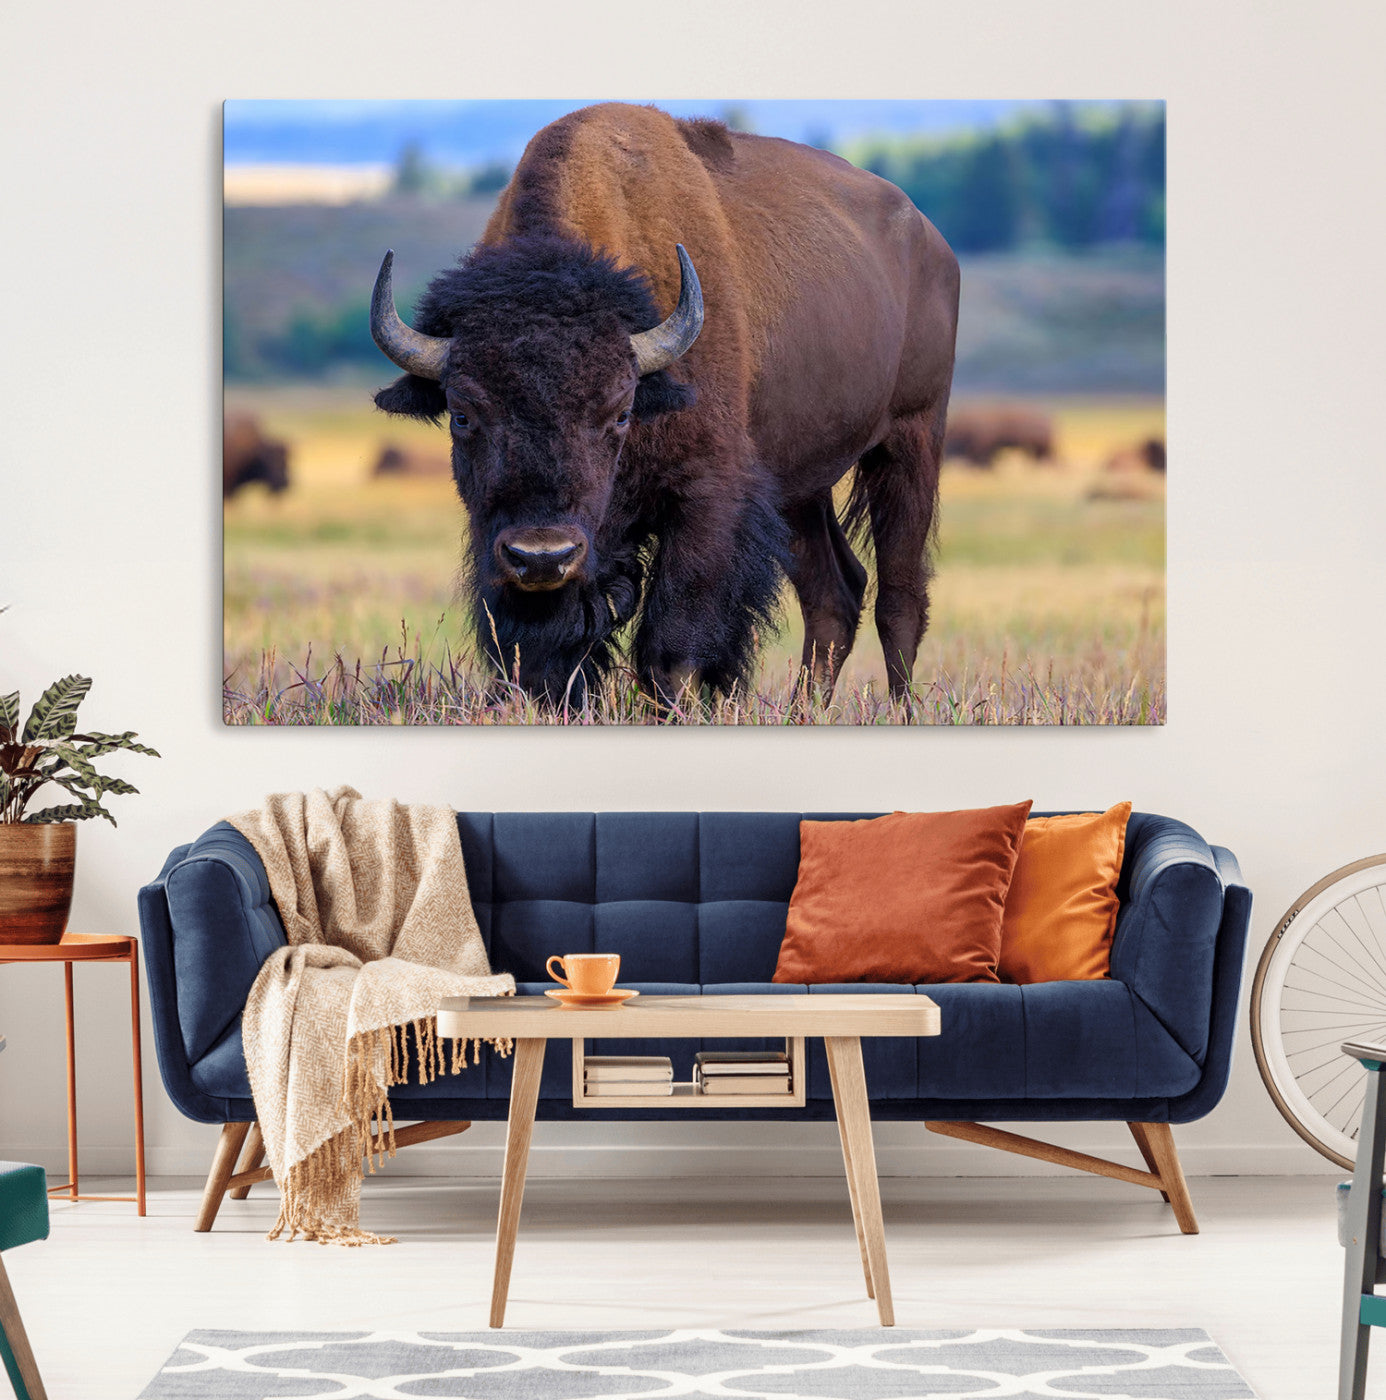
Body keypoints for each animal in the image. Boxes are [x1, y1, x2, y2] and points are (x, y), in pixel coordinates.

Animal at [371, 103, 959, 705]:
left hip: (910, 441)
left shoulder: (705, 501)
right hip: (801, 486)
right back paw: (804, 710)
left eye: (620, 412)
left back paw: (900, 709)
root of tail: (931, 241)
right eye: (463, 415)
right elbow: (541, 656)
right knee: (834, 592)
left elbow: (671, 648)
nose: (543, 554)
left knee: (899, 601)